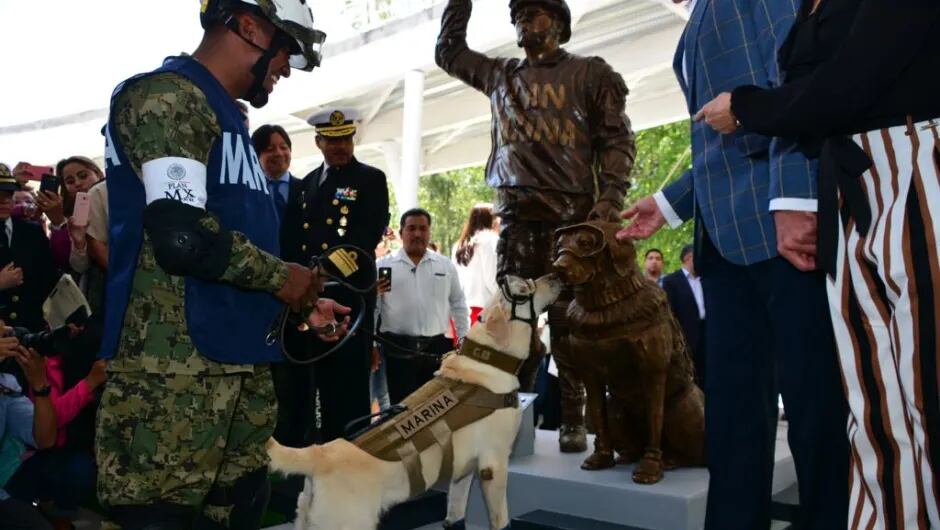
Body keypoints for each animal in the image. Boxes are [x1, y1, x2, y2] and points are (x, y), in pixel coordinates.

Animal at [266, 274, 560, 524]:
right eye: (526, 287)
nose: (555, 276)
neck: (488, 357)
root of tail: (320, 453)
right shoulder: (494, 464)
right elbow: (502, 519)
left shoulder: (462, 472)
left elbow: (455, 514)